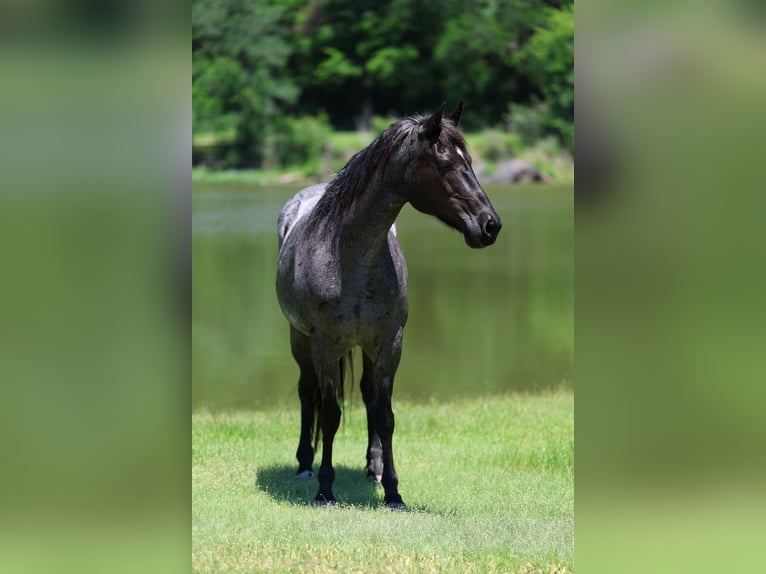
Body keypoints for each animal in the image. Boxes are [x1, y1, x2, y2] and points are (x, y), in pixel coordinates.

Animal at [275, 102, 501, 509]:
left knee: (366, 396)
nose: (490, 225)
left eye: (471, 161)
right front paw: (325, 488)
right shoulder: (324, 343)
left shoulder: (389, 342)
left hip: (364, 346)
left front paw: (393, 490)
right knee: (307, 392)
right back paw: (304, 464)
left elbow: (385, 416)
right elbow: (329, 414)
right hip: (299, 339)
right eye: (445, 164)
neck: (348, 257)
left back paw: (373, 467)